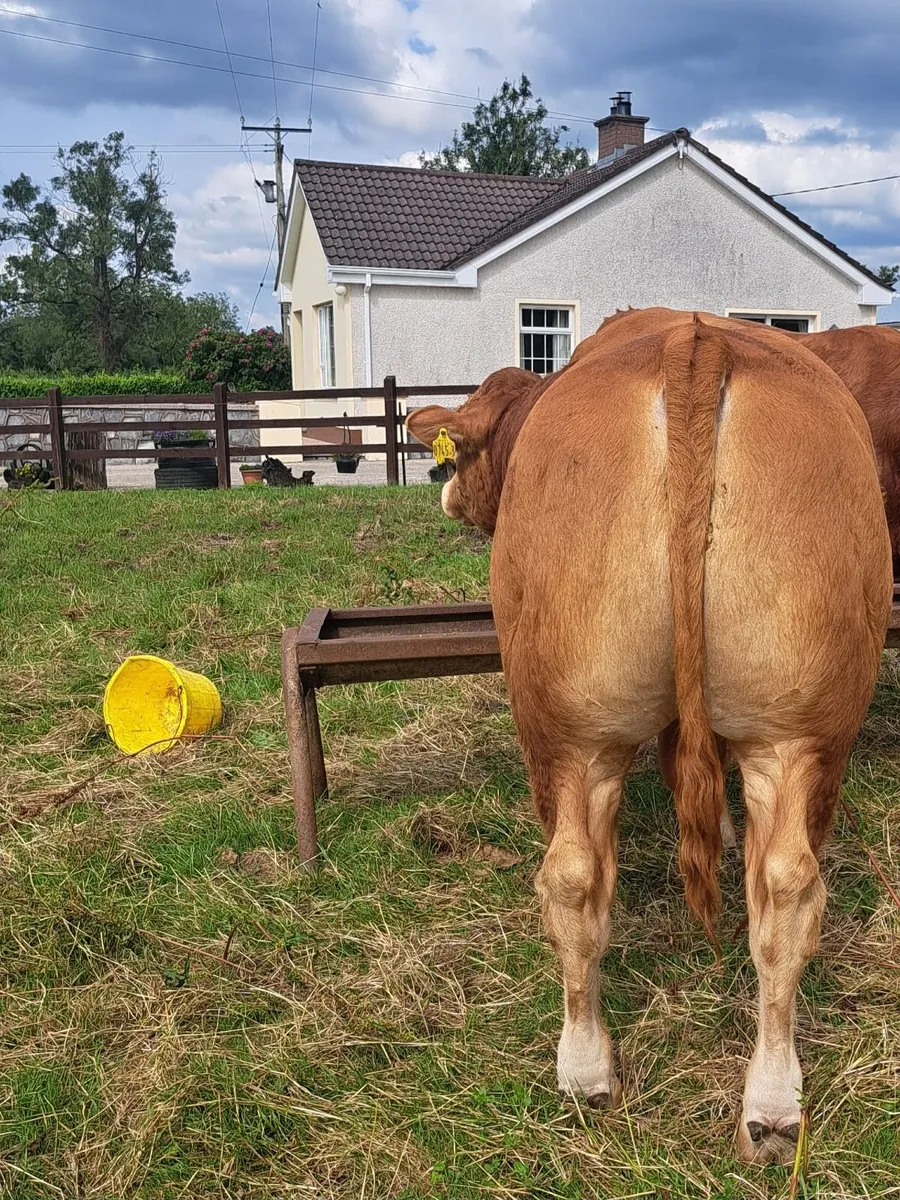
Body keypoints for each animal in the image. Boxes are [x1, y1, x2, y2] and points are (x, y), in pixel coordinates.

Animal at [407, 308, 891, 1165]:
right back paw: (766, 1104)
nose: (451, 499)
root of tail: (693, 337)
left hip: (568, 734)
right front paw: (725, 833)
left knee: (573, 880)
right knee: (777, 891)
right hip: (786, 727)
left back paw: (586, 1070)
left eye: (461, 454)